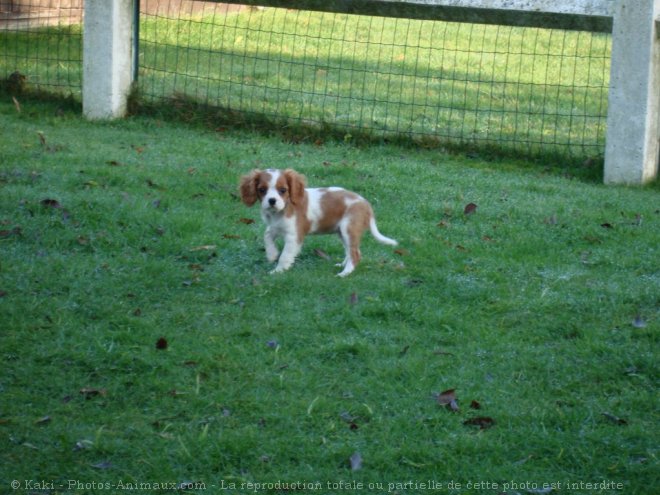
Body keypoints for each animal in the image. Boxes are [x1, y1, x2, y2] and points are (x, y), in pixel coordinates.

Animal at [241, 169, 400, 278]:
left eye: (283, 190)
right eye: (262, 190)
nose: (272, 201)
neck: (281, 210)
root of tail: (366, 204)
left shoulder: (294, 235)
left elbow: (285, 255)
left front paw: (278, 271)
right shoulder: (275, 227)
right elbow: (267, 235)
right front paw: (272, 254)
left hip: (349, 228)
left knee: (355, 254)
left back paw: (344, 273)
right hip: (342, 232)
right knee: (350, 251)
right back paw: (343, 265)